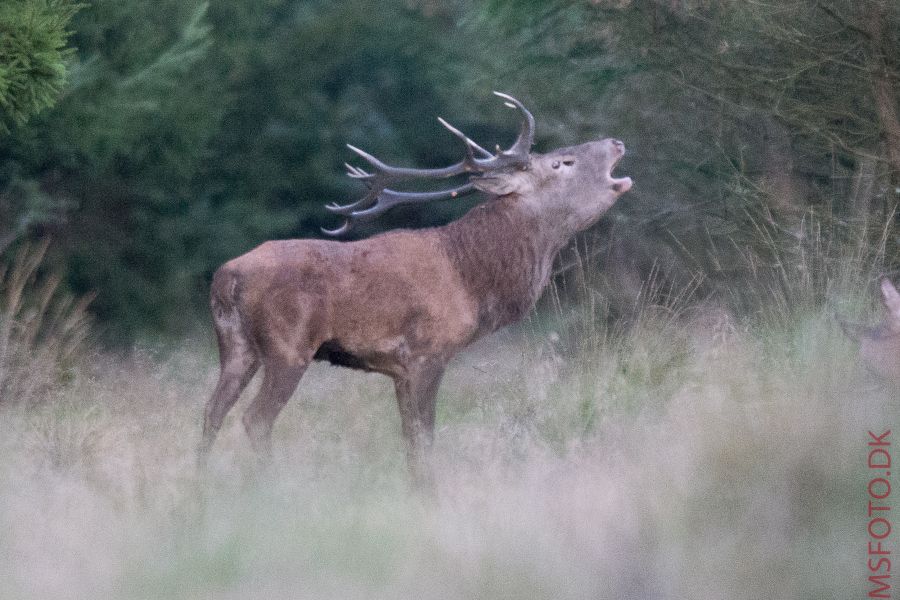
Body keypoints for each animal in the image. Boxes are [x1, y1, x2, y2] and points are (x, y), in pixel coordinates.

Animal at [200, 92, 628, 478]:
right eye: (561, 162)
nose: (616, 142)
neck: (472, 280)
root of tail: (226, 277)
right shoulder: (427, 353)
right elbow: (424, 437)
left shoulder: (399, 369)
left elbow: (409, 438)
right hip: (289, 345)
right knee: (256, 418)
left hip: (237, 346)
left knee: (211, 411)